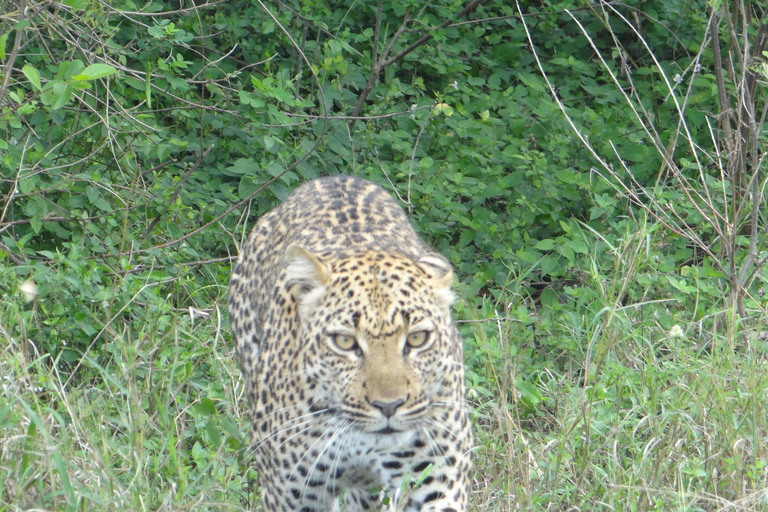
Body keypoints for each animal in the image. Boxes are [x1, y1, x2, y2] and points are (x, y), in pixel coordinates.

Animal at [225, 176, 472, 512]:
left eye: (417, 338)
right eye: (344, 341)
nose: (388, 406)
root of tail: (333, 178)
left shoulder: (437, 481)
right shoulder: (293, 495)